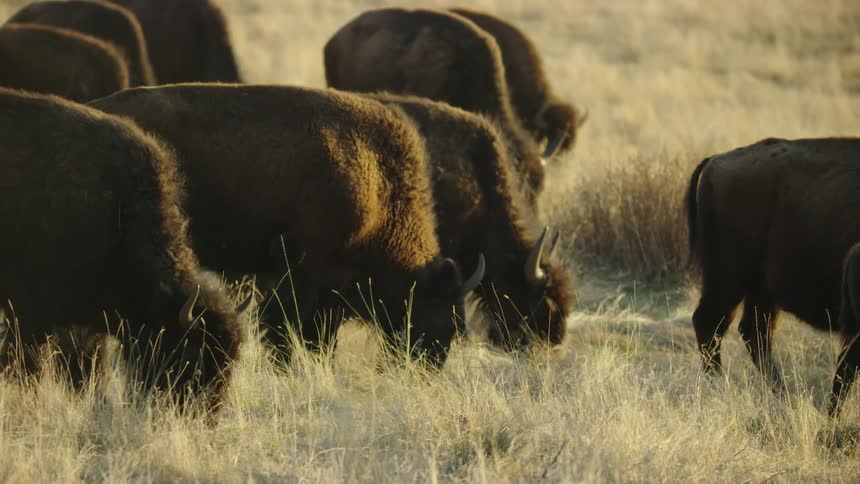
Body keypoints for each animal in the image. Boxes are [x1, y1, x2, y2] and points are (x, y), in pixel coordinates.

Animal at [686, 137, 860, 411]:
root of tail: (716, 160)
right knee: (710, 323)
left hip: (762, 290)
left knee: (754, 332)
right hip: (729, 279)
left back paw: (781, 395)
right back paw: (721, 388)